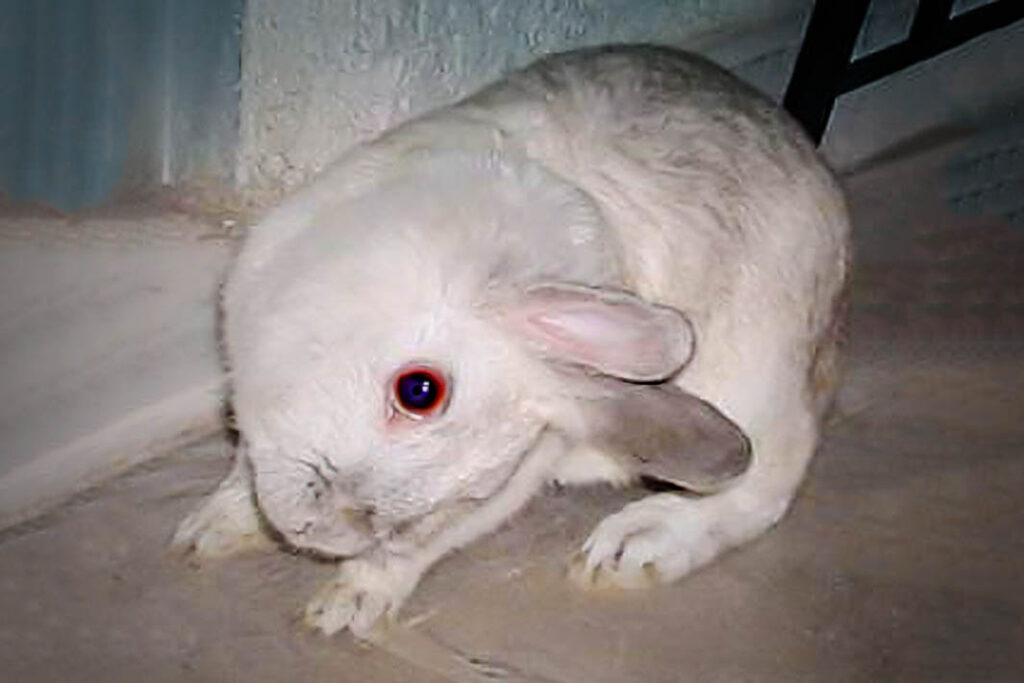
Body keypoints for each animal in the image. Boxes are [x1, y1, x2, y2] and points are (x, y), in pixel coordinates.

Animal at [172, 44, 850, 638]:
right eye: (420, 390)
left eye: (473, 493)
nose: (312, 530)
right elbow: (242, 467)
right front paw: (208, 529)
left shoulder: (524, 474)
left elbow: (415, 551)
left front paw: (346, 606)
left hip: (753, 380)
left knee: (769, 483)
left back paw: (632, 547)